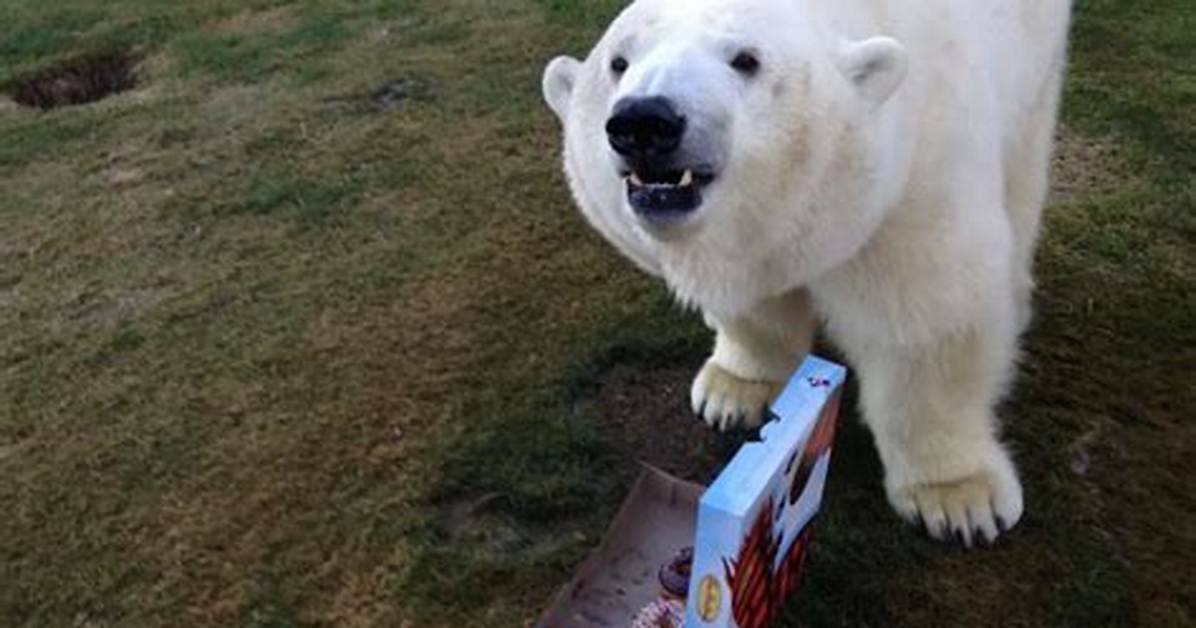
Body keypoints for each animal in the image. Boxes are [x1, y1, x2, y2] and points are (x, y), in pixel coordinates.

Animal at [542, 0, 1072, 547]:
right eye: (618, 62)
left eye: (746, 59)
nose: (645, 121)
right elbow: (755, 307)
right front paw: (731, 393)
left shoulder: (918, 173)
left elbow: (928, 319)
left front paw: (960, 498)